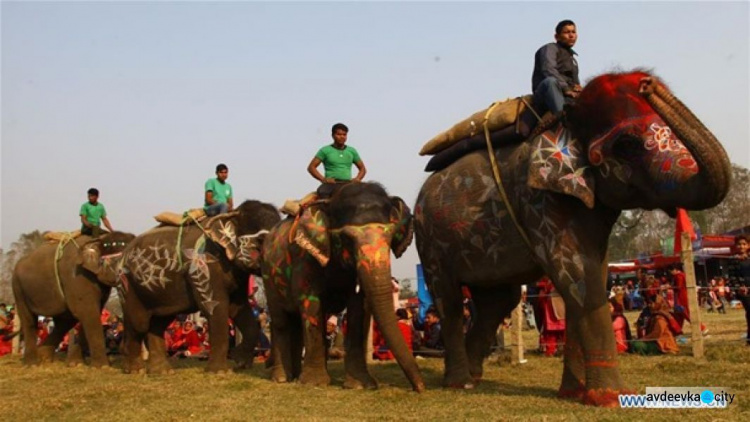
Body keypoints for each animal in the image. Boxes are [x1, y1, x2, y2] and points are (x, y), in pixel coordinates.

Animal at [12, 232, 135, 368]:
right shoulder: (77, 277)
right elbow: (87, 312)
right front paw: (102, 366)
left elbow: (91, 313)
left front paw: (76, 364)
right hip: (18, 287)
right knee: (29, 320)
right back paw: (32, 364)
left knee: (65, 321)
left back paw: (44, 358)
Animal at [120, 199, 280, 374]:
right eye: (261, 241)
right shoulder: (205, 266)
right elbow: (215, 308)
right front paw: (220, 373)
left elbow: (239, 308)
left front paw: (240, 363)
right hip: (127, 284)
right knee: (139, 324)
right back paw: (136, 370)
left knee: (158, 323)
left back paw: (162, 371)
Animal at [262, 182, 428, 392]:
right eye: (347, 239)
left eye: (391, 237)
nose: (420, 388)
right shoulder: (305, 259)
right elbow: (311, 304)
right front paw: (314, 383)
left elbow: (359, 307)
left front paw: (361, 385)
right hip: (269, 276)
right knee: (280, 320)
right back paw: (282, 378)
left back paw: (295, 376)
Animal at [414, 71, 732, 408]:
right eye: (627, 144)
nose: (648, 83)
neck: (566, 121)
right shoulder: (539, 200)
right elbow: (581, 276)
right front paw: (612, 398)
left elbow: (591, 275)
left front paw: (573, 394)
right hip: (431, 242)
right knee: (449, 300)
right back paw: (459, 383)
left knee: (497, 301)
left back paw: (474, 379)